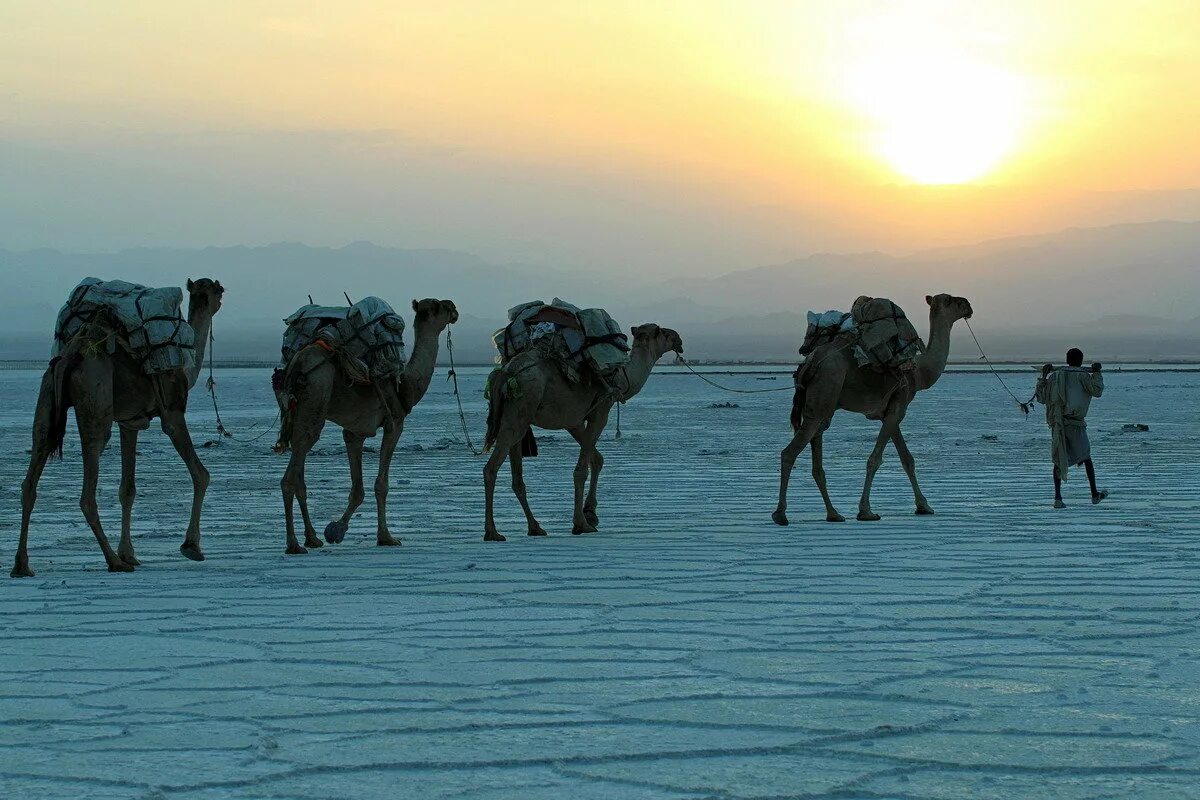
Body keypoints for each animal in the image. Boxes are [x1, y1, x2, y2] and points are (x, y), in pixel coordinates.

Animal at [12, 278, 225, 578]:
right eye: (219, 291)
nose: (219, 300)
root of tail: (70, 358)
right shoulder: (172, 411)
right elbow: (201, 473)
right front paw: (191, 547)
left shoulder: (129, 422)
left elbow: (128, 490)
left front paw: (130, 553)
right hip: (95, 400)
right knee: (87, 491)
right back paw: (113, 561)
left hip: (46, 399)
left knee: (31, 477)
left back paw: (22, 565)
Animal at [276, 297, 458, 554]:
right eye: (440, 307)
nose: (454, 309)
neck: (406, 383)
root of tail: (298, 364)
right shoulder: (395, 424)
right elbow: (381, 484)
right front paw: (385, 537)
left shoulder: (354, 432)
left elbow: (357, 489)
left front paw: (335, 530)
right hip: (314, 405)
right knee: (290, 478)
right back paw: (293, 544)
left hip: (296, 415)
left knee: (300, 476)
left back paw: (312, 538)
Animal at [480, 321, 686, 542]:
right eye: (662, 332)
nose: (679, 339)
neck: (622, 378)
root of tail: (506, 373)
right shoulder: (601, 410)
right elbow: (581, 470)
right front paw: (581, 523)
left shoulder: (573, 420)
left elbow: (597, 459)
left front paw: (591, 513)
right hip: (518, 412)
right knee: (491, 468)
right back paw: (492, 532)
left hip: (518, 417)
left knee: (517, 478)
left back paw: (535, 527)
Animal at [768, 293, 974, 525]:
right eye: (952, 300)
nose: (968, 305)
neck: (920, 372)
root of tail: (809, 362)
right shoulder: (899, 405)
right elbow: (875, 459)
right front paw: (866, 511)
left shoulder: (889, 411)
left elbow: (907, 459)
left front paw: (924, 506)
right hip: (824, 393)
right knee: (789, 452)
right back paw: (780, 514)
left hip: (822, 405)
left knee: (816, 457)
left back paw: (833, 513)